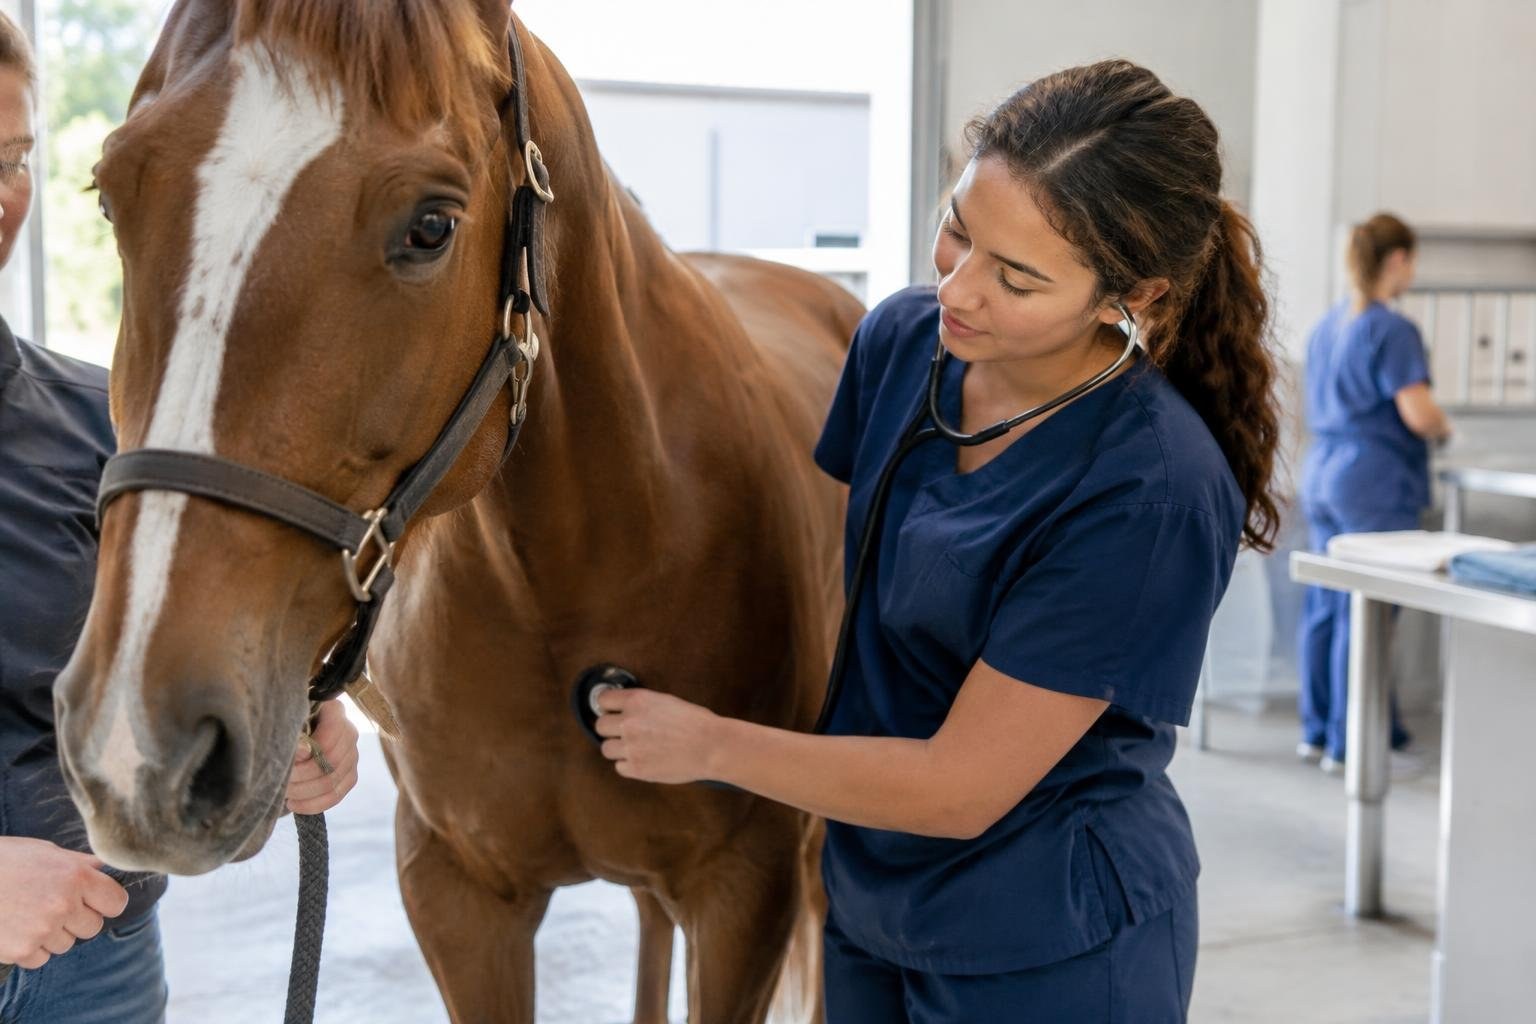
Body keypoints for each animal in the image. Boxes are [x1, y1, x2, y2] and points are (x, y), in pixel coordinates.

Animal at [52, 2, 860, 1021]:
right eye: (111, 198)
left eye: (432, 225)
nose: (134, 750)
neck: (571, 579)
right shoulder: (457, 893)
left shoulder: (746, 893)